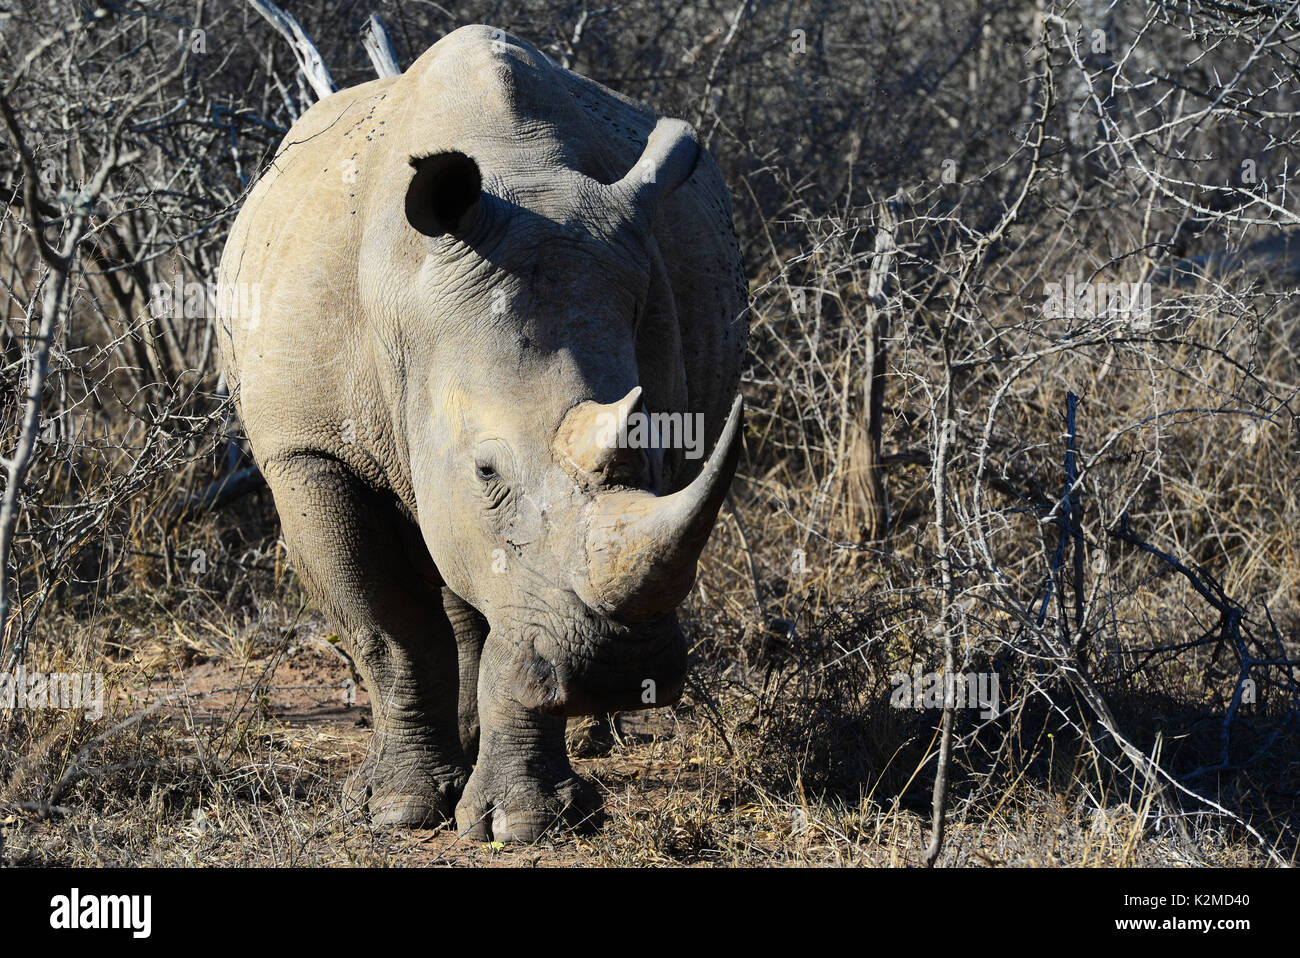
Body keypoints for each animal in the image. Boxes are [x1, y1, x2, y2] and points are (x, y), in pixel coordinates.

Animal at [218, 26, 748, 842]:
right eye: (487, 472)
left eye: (659, 450)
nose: (619, 672)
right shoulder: (308, 447)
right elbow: (389, 627)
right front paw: (396, 811)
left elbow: (510, 619)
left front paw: (525, 823)